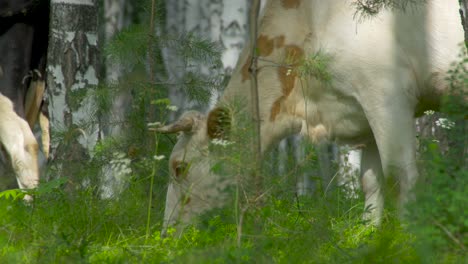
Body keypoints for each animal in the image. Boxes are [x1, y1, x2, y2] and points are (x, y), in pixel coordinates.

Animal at [154, 0, 464, 231]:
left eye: (179, 167)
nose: (166, 232)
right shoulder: (362, 113)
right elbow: (371, 183)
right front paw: (369, 237)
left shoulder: (387, 94)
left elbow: (399, 177)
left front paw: (404, 240)